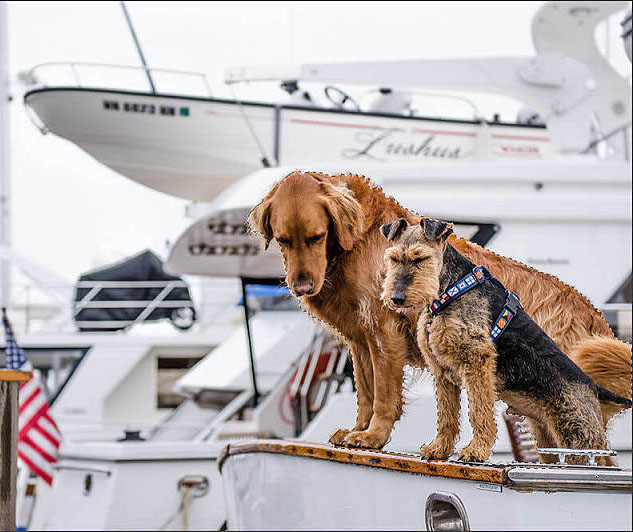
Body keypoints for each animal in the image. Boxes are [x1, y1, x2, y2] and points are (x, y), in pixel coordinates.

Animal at [378, 216, 628, 462]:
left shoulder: (477, 360)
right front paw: (439, 449)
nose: (396, 298)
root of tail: (594, 387)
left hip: (577, 440)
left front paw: (476, 451)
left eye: (420, 258)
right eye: (393, 258)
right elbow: (447, 416)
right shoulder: (442, 372)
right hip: (548, 438)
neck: (451, 289)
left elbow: (479, 411)